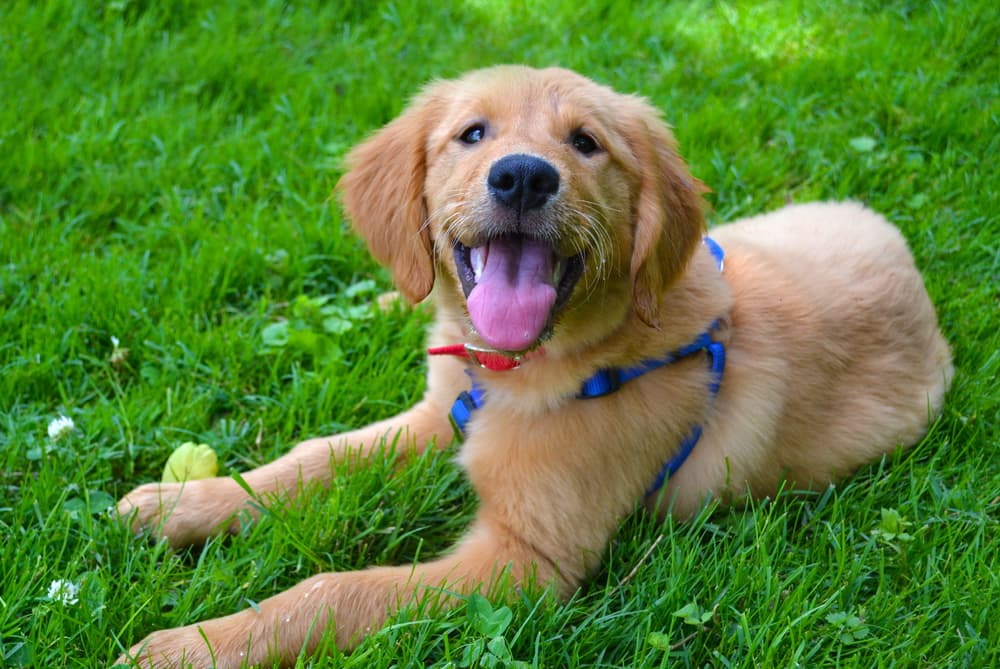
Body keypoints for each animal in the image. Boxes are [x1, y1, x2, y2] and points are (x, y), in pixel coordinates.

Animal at [117, 65, 952, 664]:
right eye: (472, 133)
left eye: (586, 143)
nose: (523, 175)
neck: (511, 372)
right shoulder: (437, 414)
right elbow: (315, 459)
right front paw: (184, 502)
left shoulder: (524, 561)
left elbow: (334, 590)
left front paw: (195, 643)